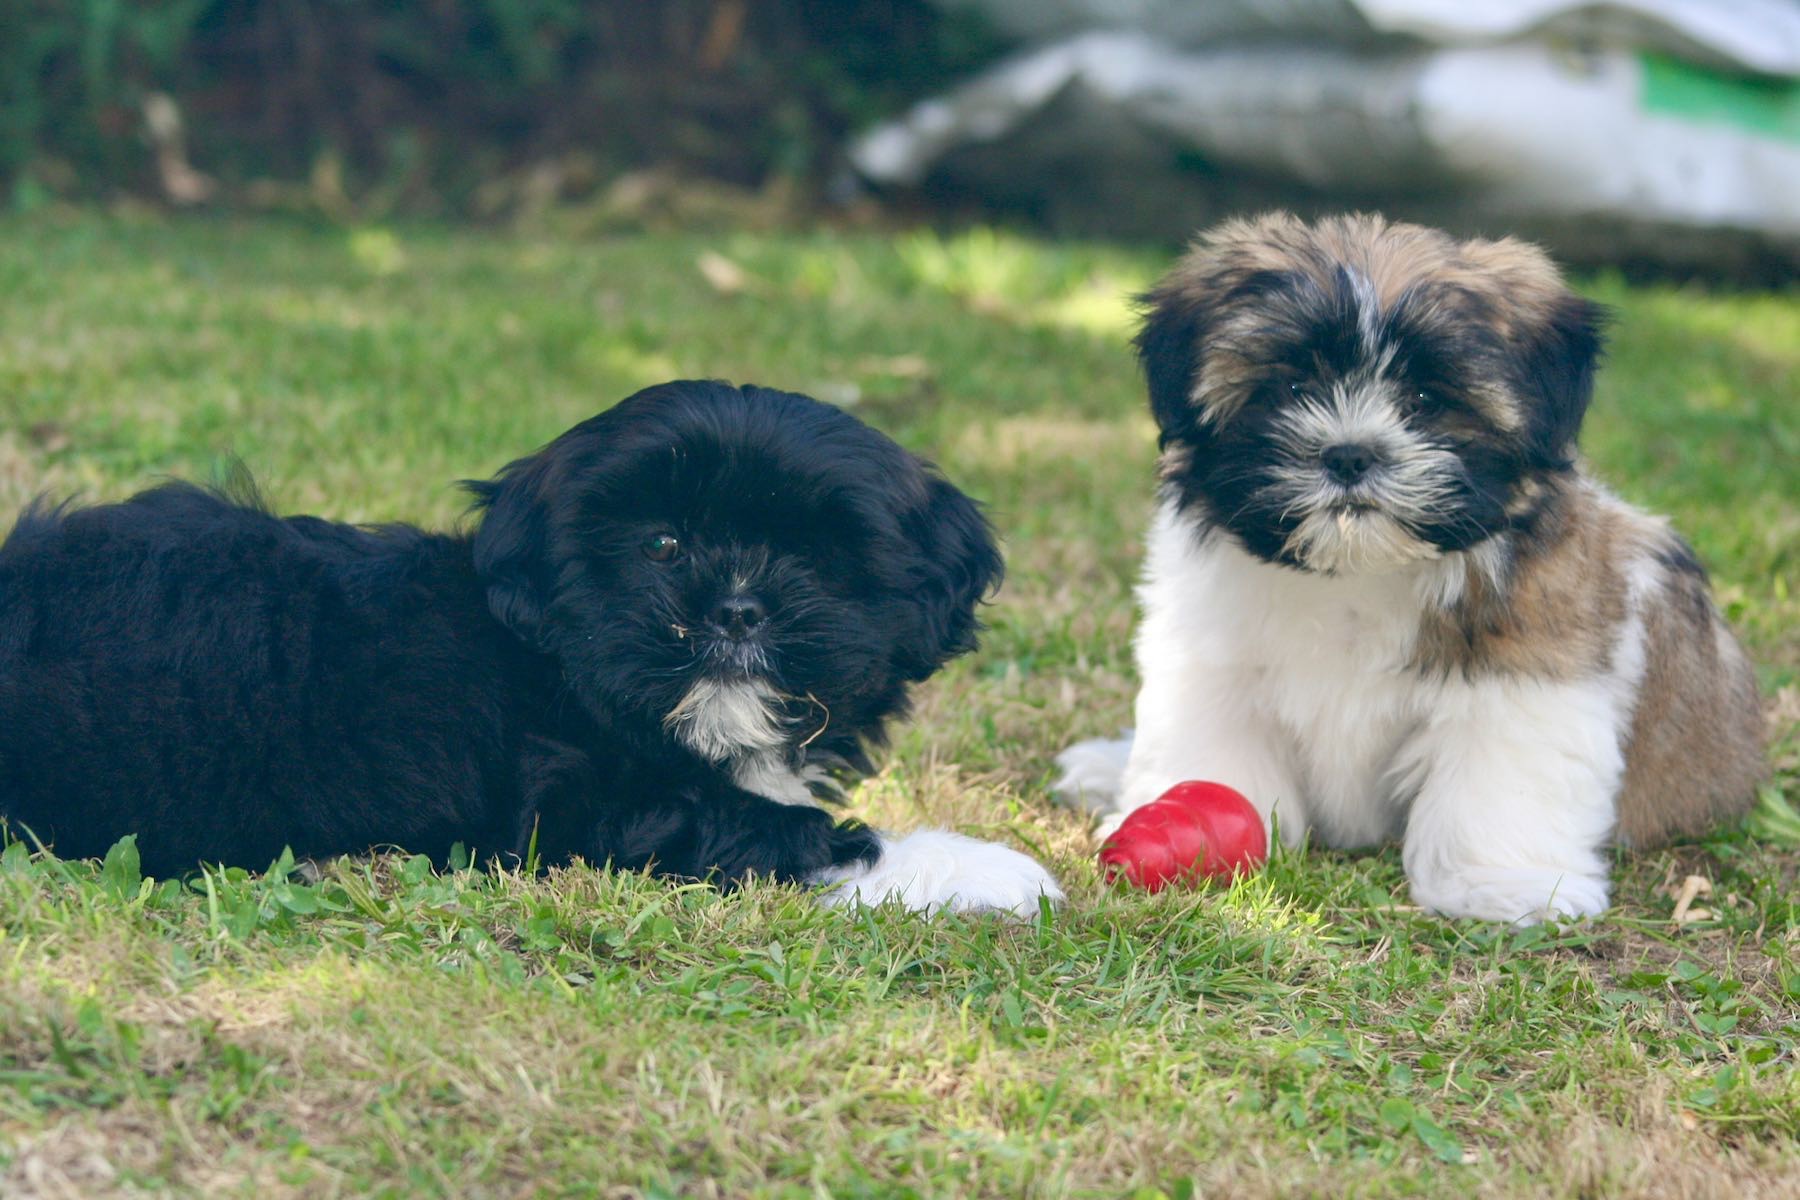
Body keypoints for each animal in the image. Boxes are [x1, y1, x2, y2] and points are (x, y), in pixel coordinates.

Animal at [0, 379, 1058, 913]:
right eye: (661, 546)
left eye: (812, 558)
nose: (734, 609)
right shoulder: (573, 811)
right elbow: (779, 829)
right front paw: (978, 865)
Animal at [1058, 215, 1764, 928]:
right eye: (1292, 389)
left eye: (1425, 399)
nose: (1348, 454)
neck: (1359, 572)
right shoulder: (1213, 660)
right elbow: (1212, 749)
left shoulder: (1531, 668)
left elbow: (1499, 772)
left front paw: (1500, 883)